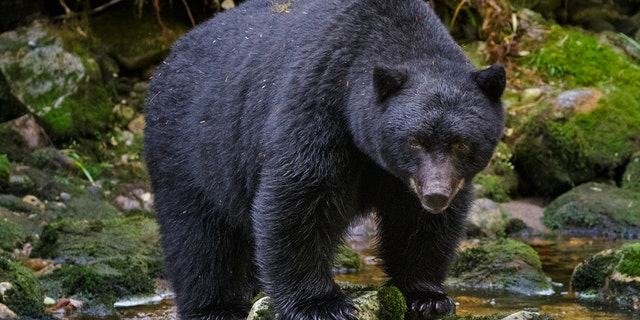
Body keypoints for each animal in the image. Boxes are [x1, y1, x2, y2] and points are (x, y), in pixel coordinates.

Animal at [144, 0, 504, 318]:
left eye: (461, 143)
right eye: (415, 141)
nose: (436, 195)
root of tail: (169, 58)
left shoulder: (409, 179)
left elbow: (418, 222)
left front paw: (427, 297)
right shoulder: (318, 104)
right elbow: (299, 199)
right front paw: (320, 304)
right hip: (190, 146)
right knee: (198, 234)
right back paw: (214, 307)